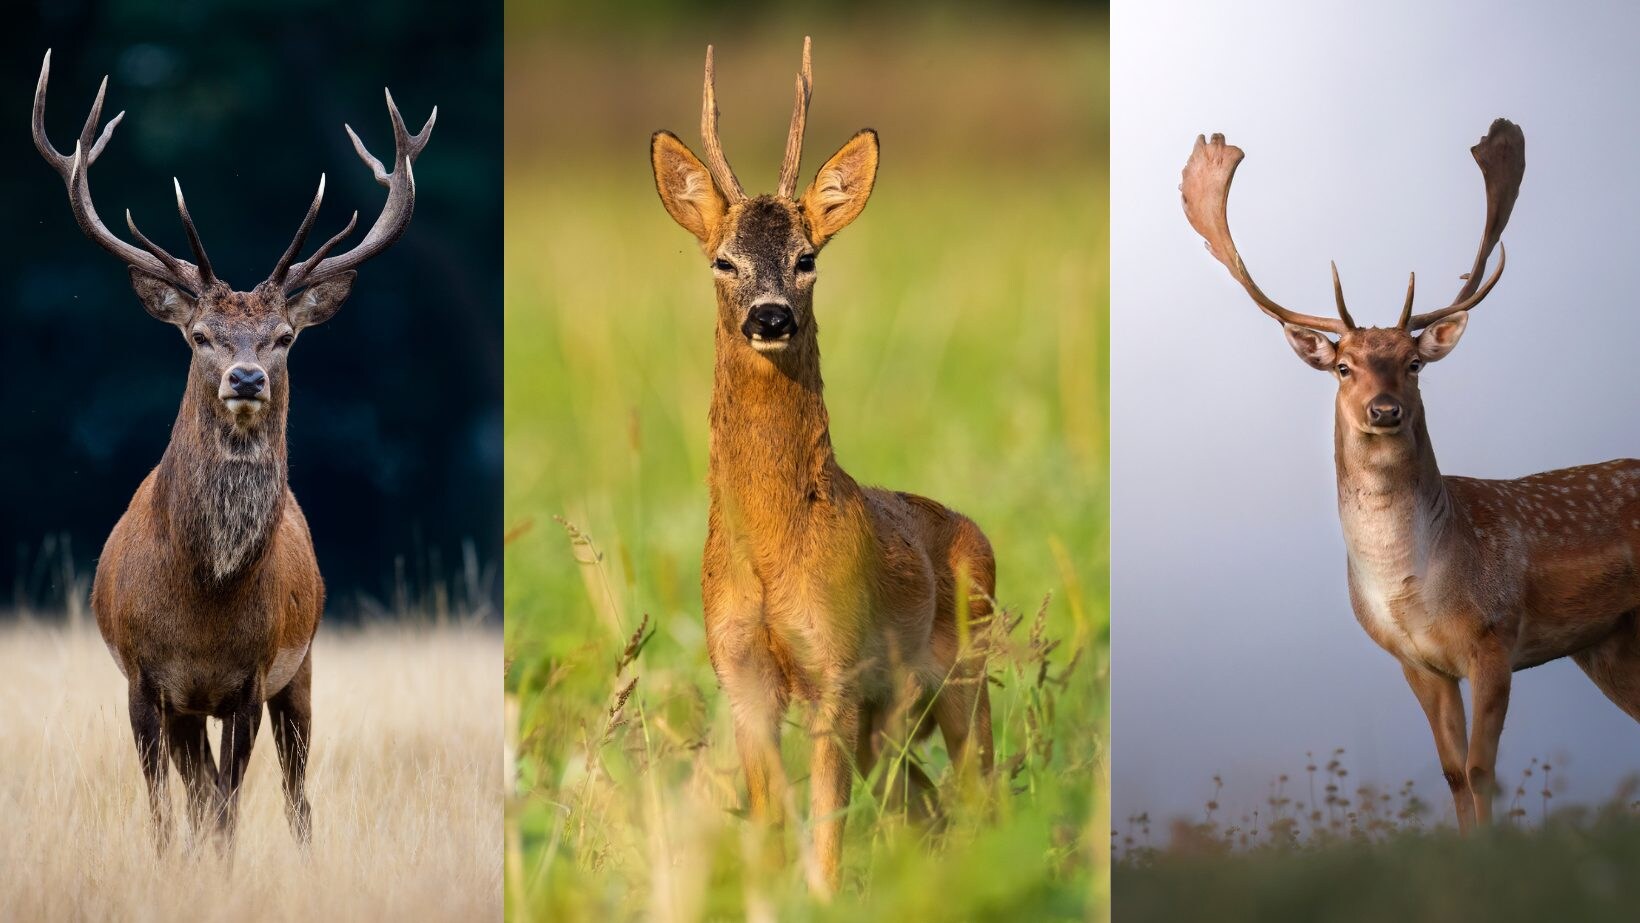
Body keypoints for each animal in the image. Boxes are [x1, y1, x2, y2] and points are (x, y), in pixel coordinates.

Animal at [32, 50, 434, 851]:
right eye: (199, 335)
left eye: (284, 337)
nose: (245, 377)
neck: (203, 600)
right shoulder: (146, 681)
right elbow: (168, 810)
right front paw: (170, 864)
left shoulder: (251, 678)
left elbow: (227, 808)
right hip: (195, 707)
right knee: (197, 791)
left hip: (301, 670)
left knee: (295, 793)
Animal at [648, 38, 996, 894]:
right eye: (723, 261)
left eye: (807, 257)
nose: (770, 317)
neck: (773, 548)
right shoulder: (742, 674)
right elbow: (774, 826)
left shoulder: (834, 669)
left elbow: (827, 837)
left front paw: (824, 898)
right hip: (890, 716)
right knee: (923, 799)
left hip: (964, 670)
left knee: (983, 790)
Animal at [1182, 119, 1640, 830]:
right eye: (1344, 367)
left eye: (1414, 363)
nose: (1384, 409)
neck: (1413, 583)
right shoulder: (1416, 663)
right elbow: (1453, 774)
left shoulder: (1495, 638)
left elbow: (1482, 771)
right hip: (1608, 643)